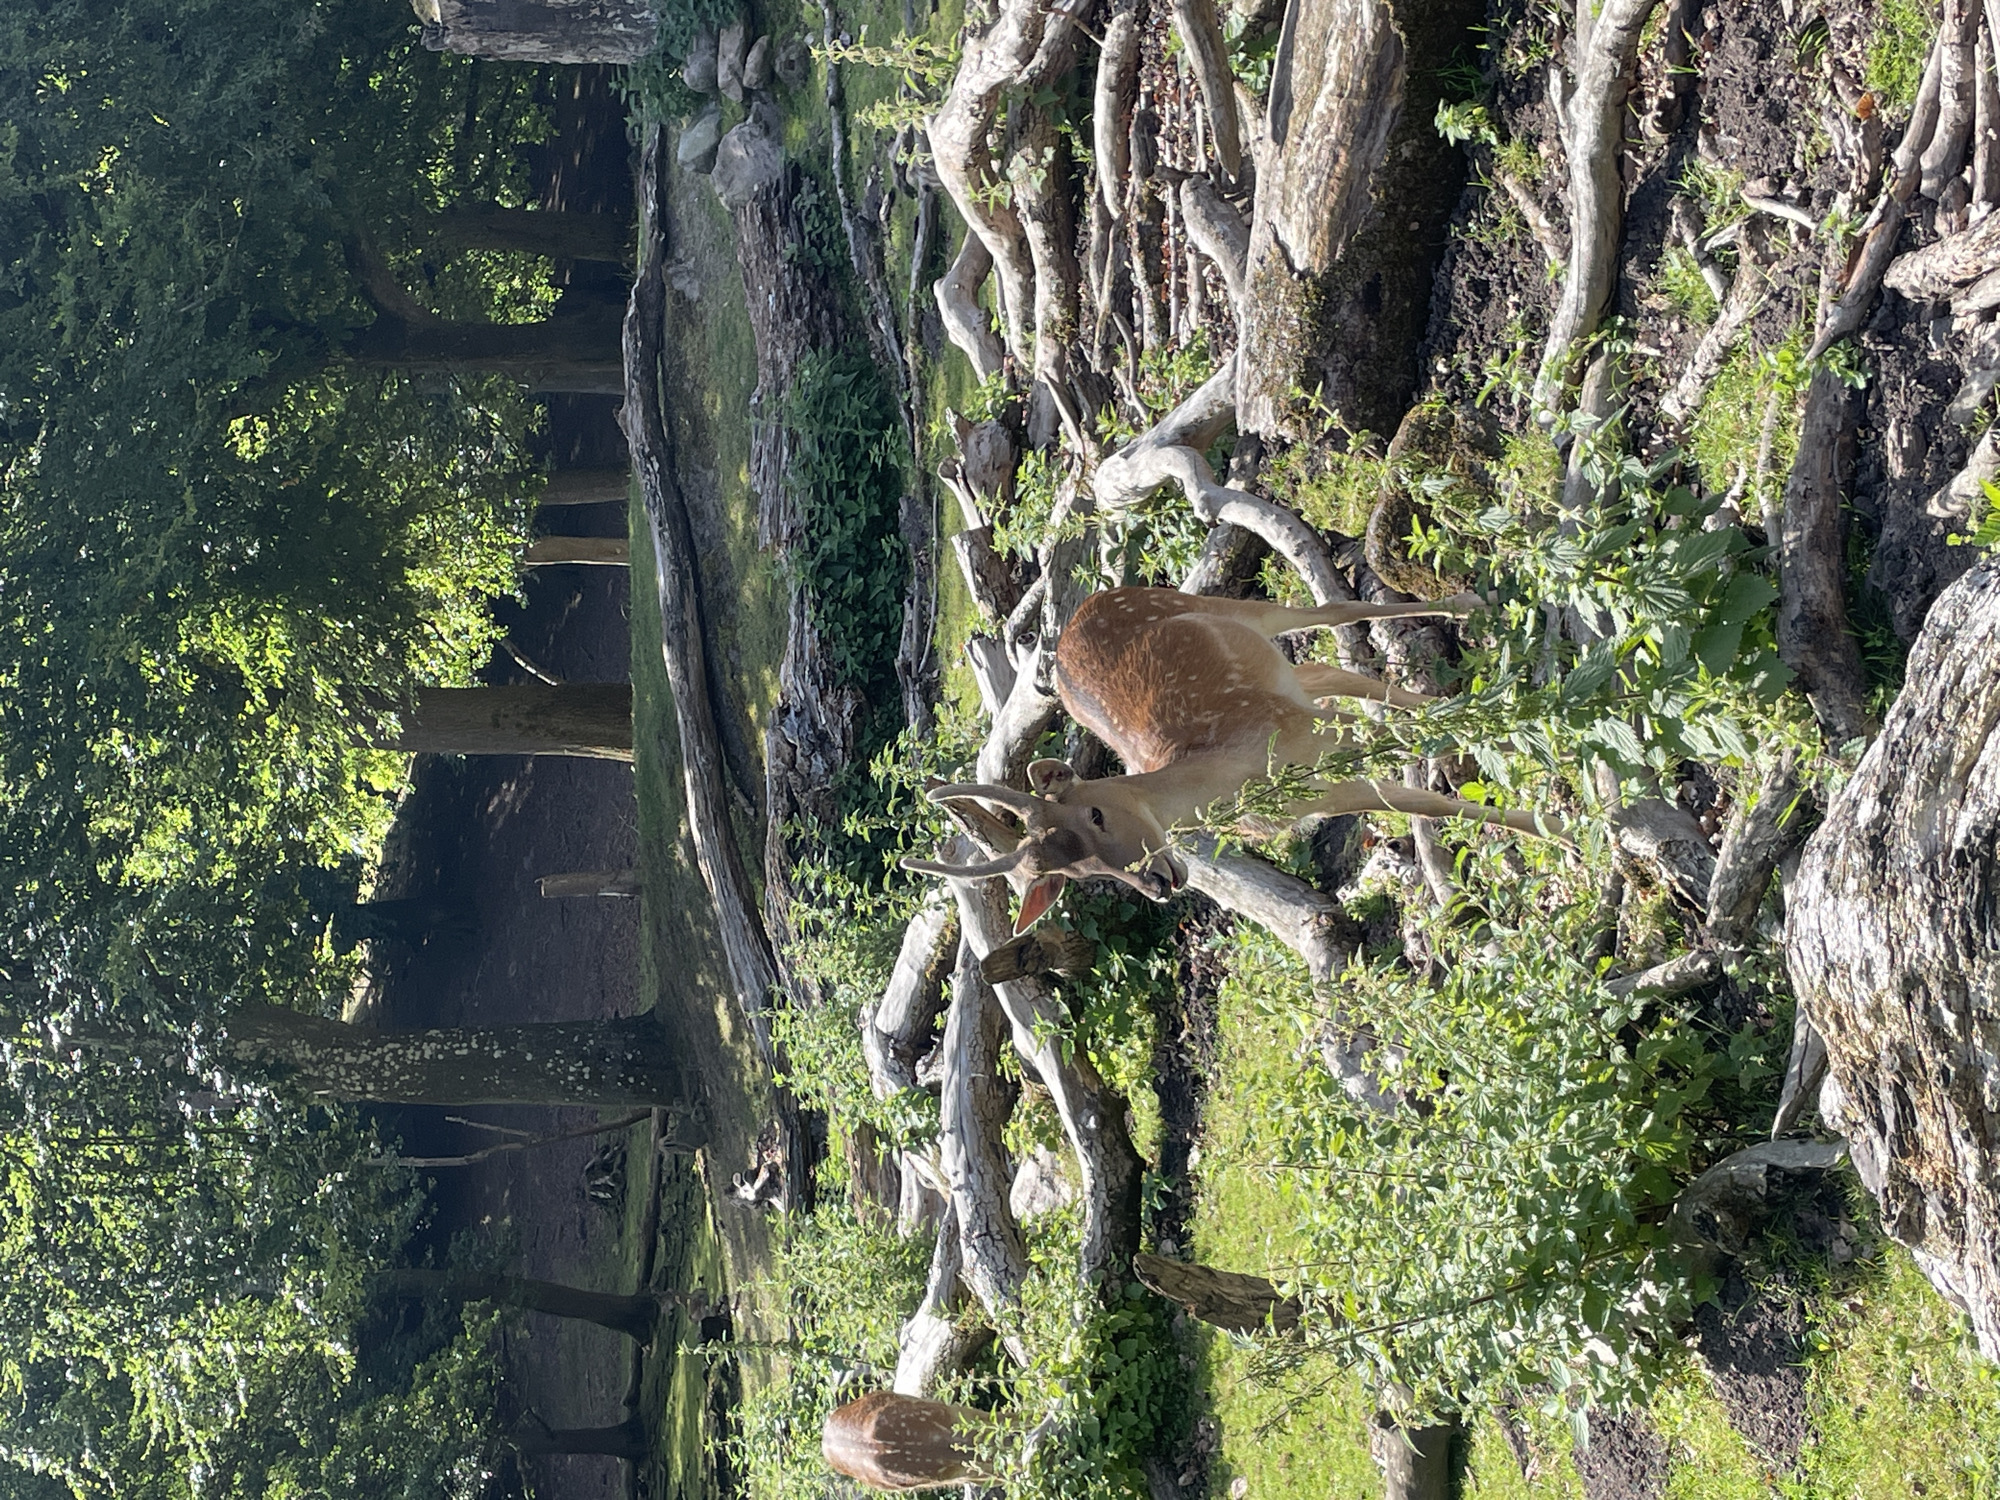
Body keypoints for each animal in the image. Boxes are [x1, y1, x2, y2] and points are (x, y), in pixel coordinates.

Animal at [904, 587, 1559, 930]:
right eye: (1080, 877)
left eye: (1094, 812)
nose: (1157, 882)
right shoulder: (1332, 785)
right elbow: (1436, 805)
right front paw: (1559, 824)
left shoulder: (1316, 735)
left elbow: (1426, 737)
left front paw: (1548, 760)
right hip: (1282, 676)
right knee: (1326, 670)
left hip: (1217, 604)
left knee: (1331, 616)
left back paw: (1469, 607)